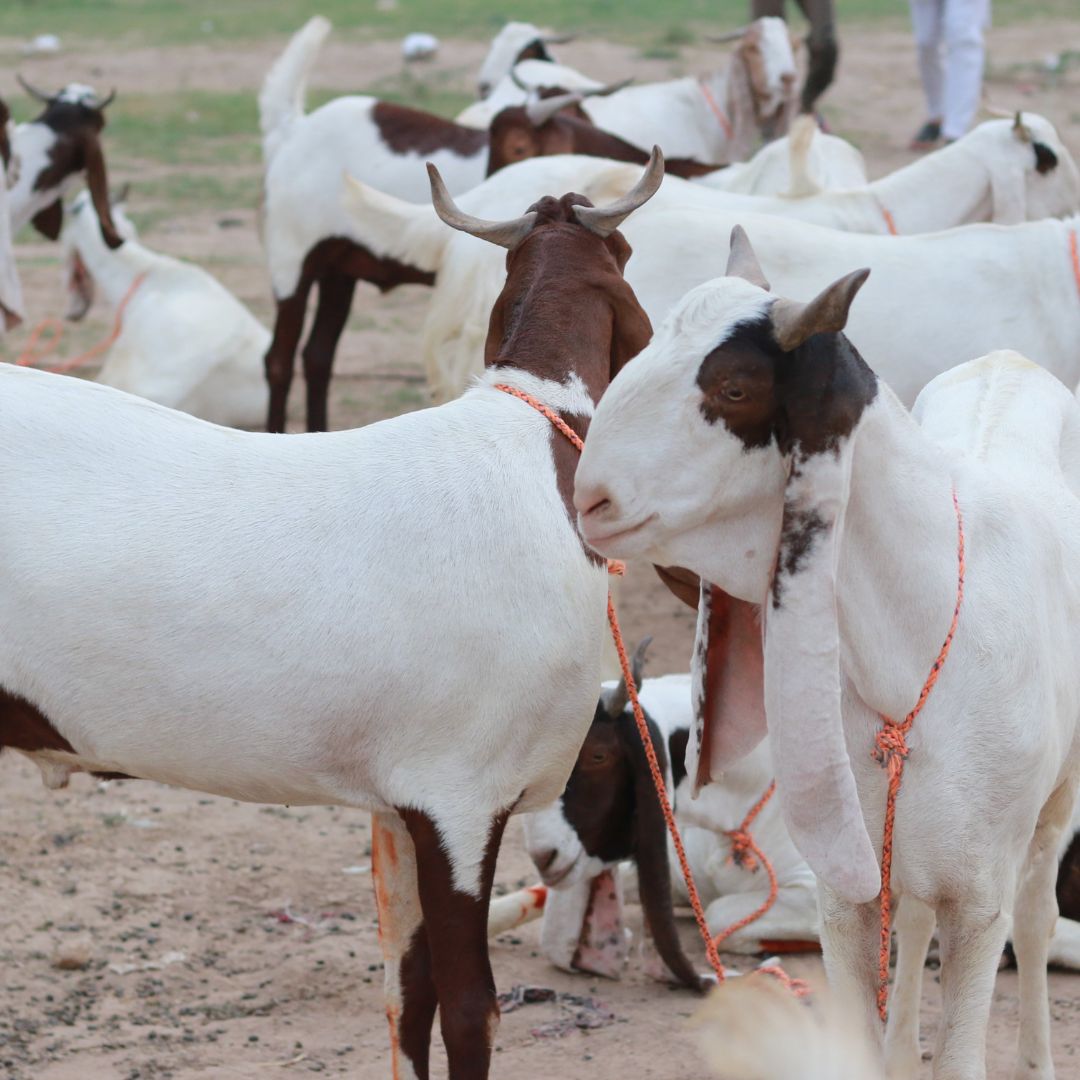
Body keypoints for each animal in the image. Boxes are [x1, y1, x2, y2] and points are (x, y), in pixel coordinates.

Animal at [574, 228, 1080, 1078]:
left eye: (735, 388)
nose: (590, 499)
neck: (914, 645)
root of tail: (1009, 362)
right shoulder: (848, 893)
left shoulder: (980, 900)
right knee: (913, 929)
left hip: (1054, 805)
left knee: (1038, 916)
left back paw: (1037, 1058)